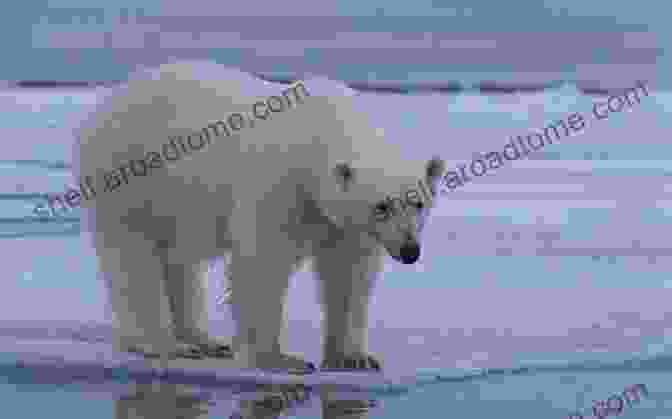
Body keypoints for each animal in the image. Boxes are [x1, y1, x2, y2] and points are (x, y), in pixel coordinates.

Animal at [75, 60, 446, 374]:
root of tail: (102, 106)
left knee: (178, 261)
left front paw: (354, 357)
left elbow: (348, 273)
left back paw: (203, 340)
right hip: (130, 175)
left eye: (417, 203)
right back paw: (162, 343)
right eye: (381, 206)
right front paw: (279, 359)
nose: (410, 251)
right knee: (133, 258)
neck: (324, 130)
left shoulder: (341, 224)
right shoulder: (280, 185)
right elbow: (263, 263)